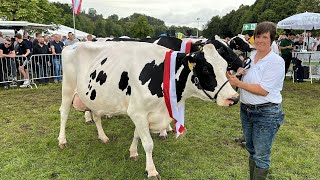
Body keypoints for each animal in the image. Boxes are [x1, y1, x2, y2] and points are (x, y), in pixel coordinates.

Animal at [59, 41, 240, 178]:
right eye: (206, 69)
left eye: (225, 66)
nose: (234, 98)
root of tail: (73, 44)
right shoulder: (137, 112)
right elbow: (148, 144)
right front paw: (152, 170)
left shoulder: (145, 114)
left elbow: (137, 135)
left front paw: (133, 152)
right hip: (67, 88)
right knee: (64, 113)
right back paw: (62, 141)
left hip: (95, 98)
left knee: (96, 116)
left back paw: (103, 137)